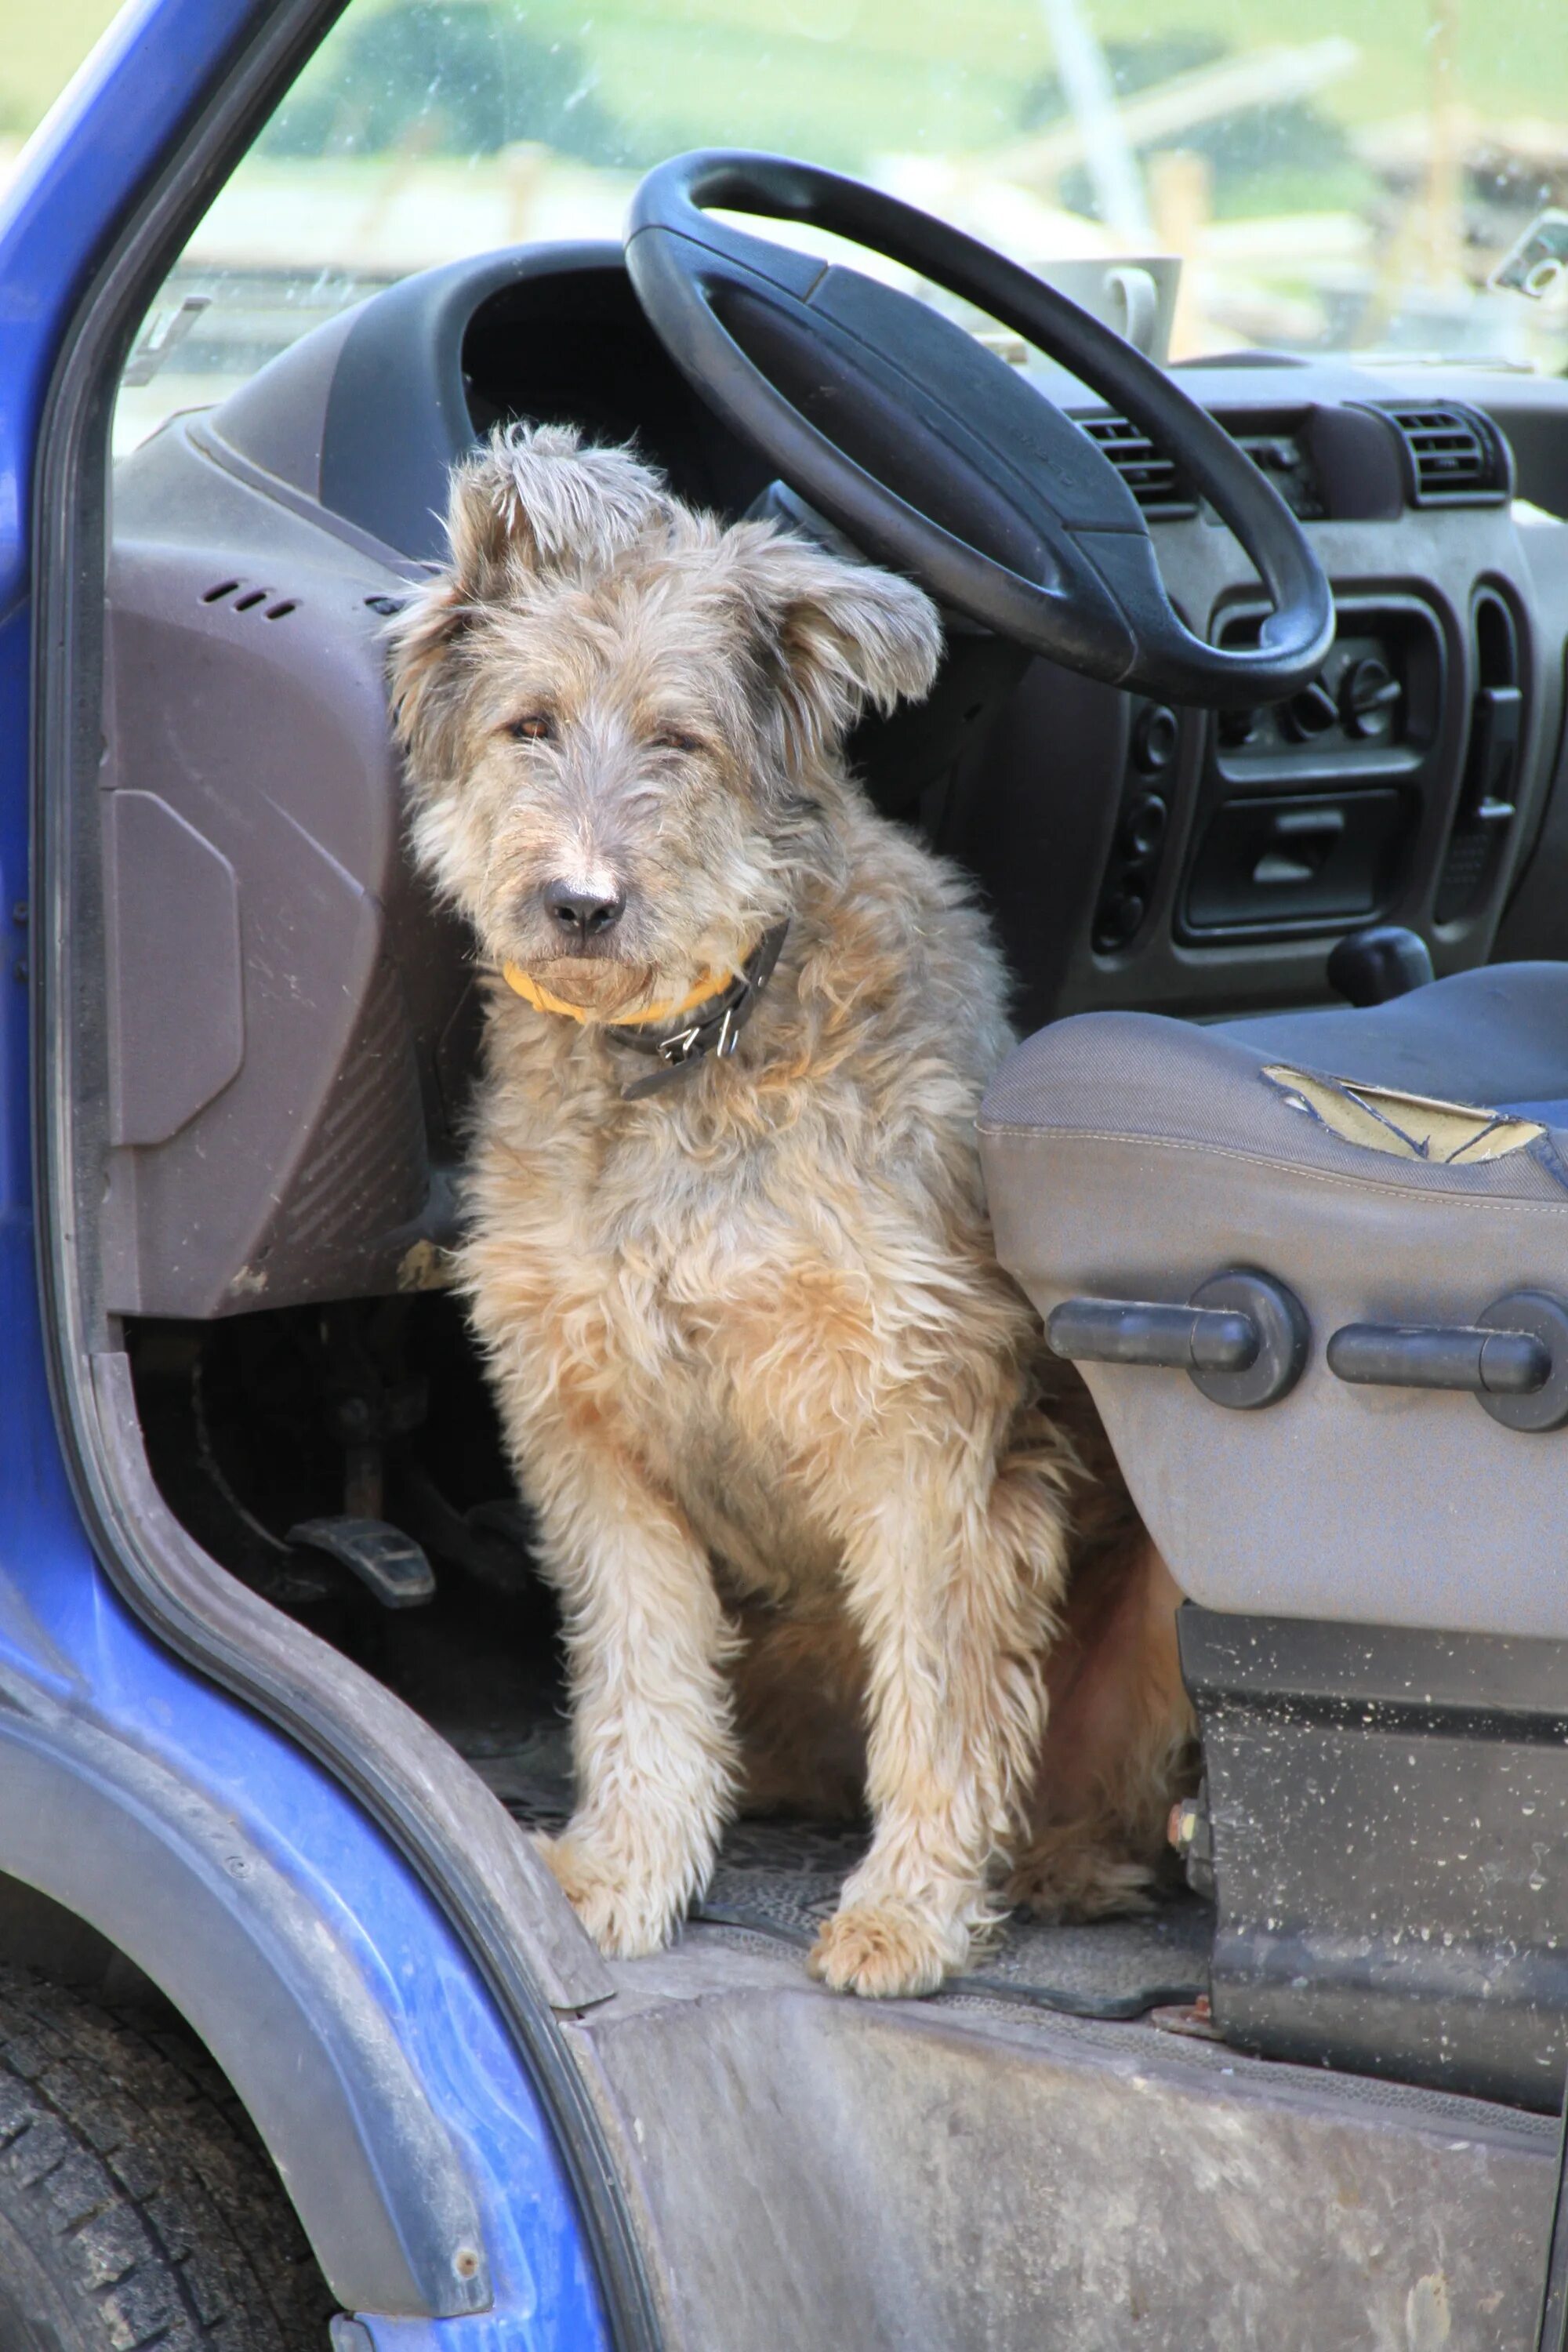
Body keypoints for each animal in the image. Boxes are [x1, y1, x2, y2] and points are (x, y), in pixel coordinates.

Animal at [392, 428, 1189, 2004]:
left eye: (678, 743)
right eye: (527, 726)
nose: (579, 904)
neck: (686, 1051)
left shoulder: (927, 1422)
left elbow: (940, 1700)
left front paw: (909, 1915)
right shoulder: (584, 1423)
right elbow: (640, 1679)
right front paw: (624, 1875)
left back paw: (1059, 1868)